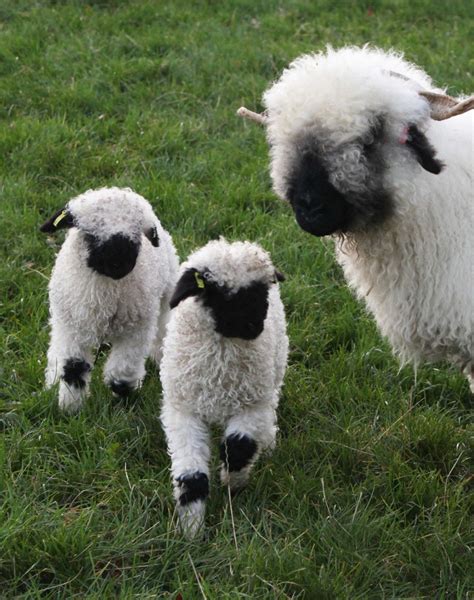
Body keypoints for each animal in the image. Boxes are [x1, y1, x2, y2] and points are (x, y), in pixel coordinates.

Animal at [39, 188, 178, 412]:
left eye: (137, 234)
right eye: (90, 233)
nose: (119, 263)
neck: (105, 296)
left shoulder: (136, 330)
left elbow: (123, 371)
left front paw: (123, 399)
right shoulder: (71, 328)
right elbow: (73, 368)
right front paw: (71, 408)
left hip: (166, 294)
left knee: (163, 328)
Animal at [159, 237, 286, 536]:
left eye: (261, 292)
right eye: (221, 295)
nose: (254, 327)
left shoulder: (252, 405)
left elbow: (238, 447)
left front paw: (233, 482)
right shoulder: (183, 411)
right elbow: (191, 475)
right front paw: (192, 529)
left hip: (273, 376)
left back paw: (267, 443)